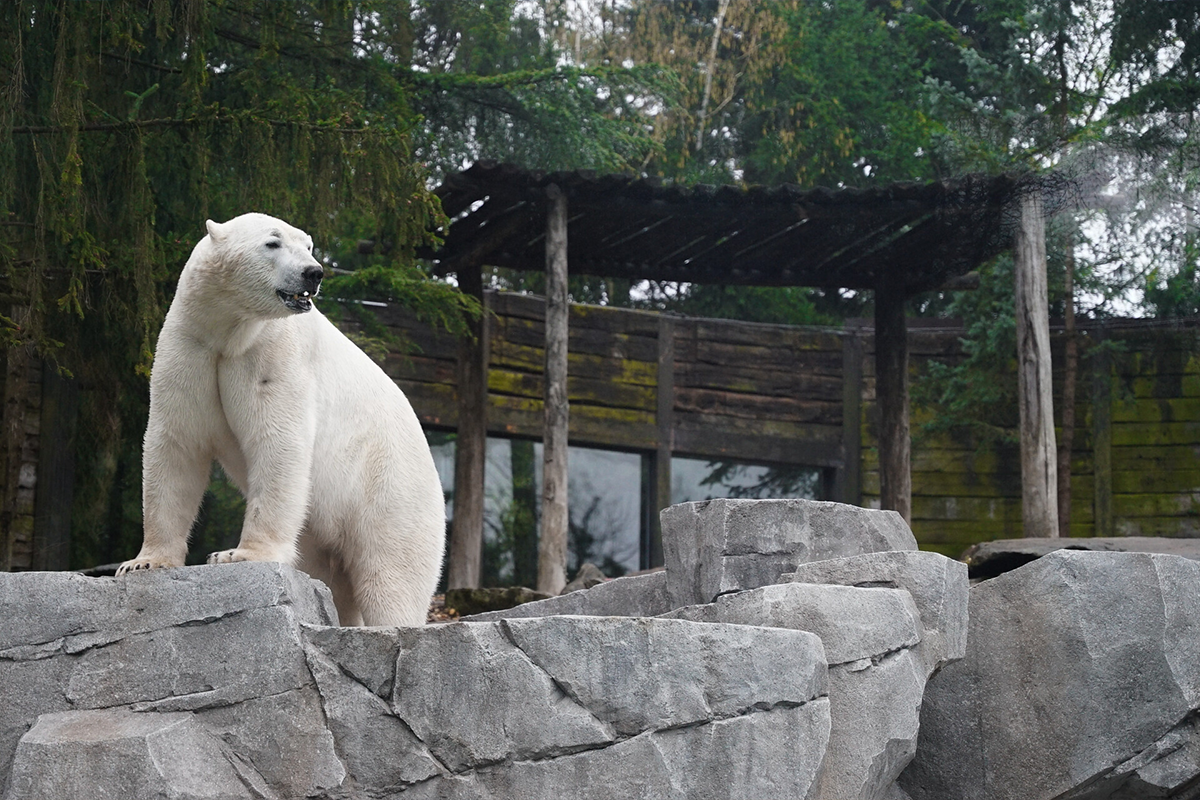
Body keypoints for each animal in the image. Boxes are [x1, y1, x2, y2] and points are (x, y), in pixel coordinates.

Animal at [116, 213, 446, 627]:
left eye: (308, 246)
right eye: (272, 243)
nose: (313, 273)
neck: (229, 330)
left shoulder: (272, 353)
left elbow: (277, 442)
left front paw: (237, 554)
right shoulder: (189, 347)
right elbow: (176, 444)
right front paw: (143, 562)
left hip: (389, 488)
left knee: (390, 577)